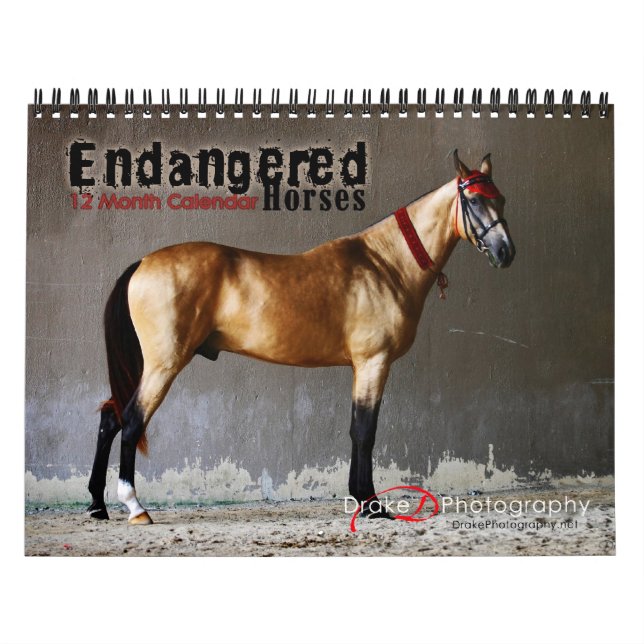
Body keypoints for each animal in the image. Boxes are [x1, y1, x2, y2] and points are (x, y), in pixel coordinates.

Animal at [87, 150, 515, 524]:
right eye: (474, 200)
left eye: (501, 199)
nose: (505, 252)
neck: (385, 263)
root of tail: (142, 262)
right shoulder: (372, 362)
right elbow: (365, 432)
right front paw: (372, 505)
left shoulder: (364, 366)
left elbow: (358, 430)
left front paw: (363, 500)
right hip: (164, 364)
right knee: (131, 421)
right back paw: (135, 507)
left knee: (110, 418)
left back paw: (97, 505)